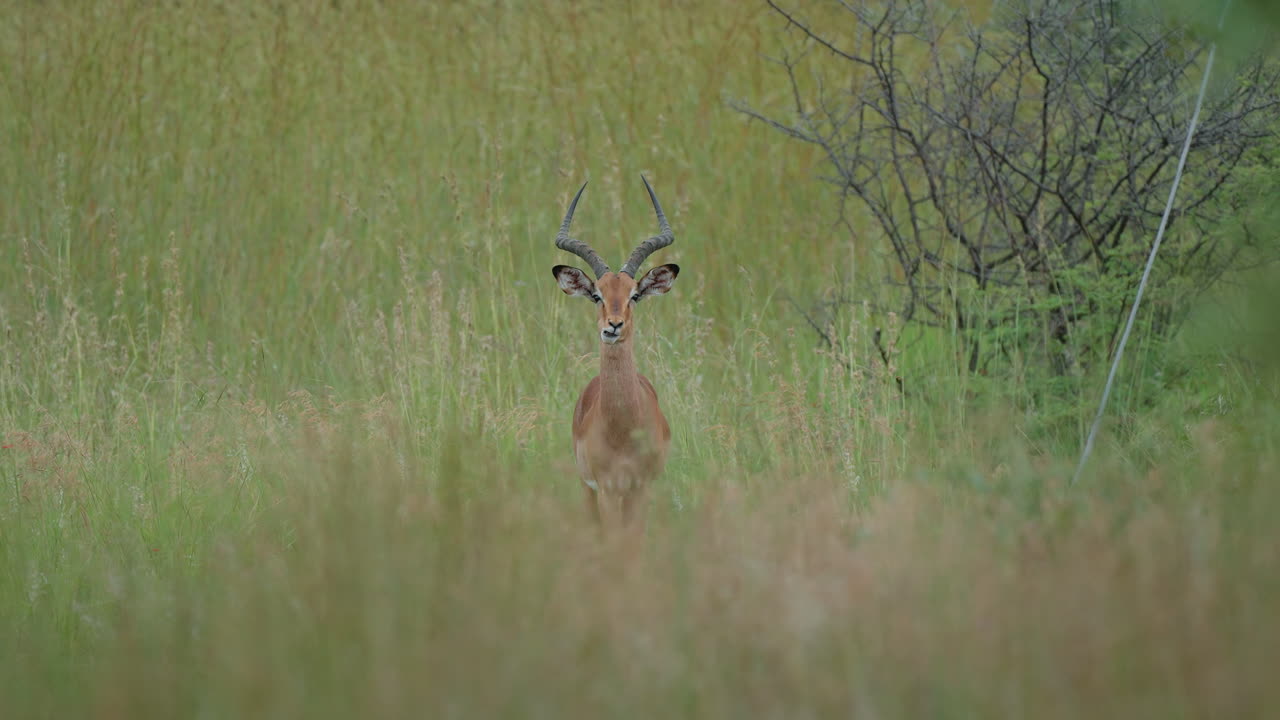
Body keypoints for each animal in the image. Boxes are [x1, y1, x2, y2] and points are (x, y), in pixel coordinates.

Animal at [551, 176, 680, 529]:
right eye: (597, 295)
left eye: (634, 294)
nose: (613, 325)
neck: (622, 430)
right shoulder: (607, 490)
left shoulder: (640, 488)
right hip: (588, 489)